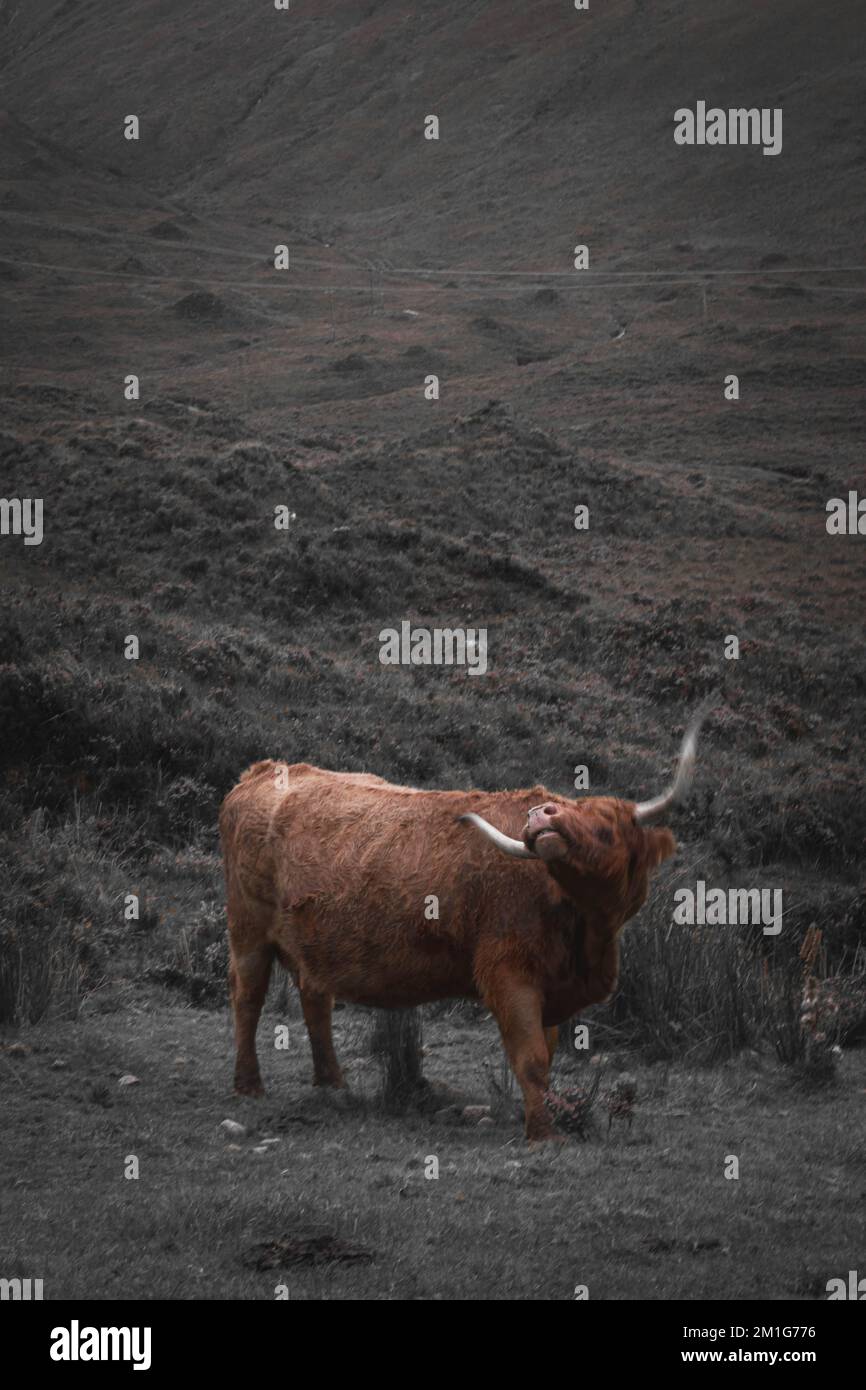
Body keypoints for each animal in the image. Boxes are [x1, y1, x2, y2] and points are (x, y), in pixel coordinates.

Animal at [220, 710, 708, 1142]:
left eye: (607, 824)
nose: (541, 814)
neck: (585, 932)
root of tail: (262, 772)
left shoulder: (549, 985)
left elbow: (547, 1054)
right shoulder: (507, 971)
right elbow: (530, 1058)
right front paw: (544, 1134)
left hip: (312, 940)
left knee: (314, 999)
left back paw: (332, 1084)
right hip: (247, 930)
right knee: (248, 996)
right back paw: (248, 1084)